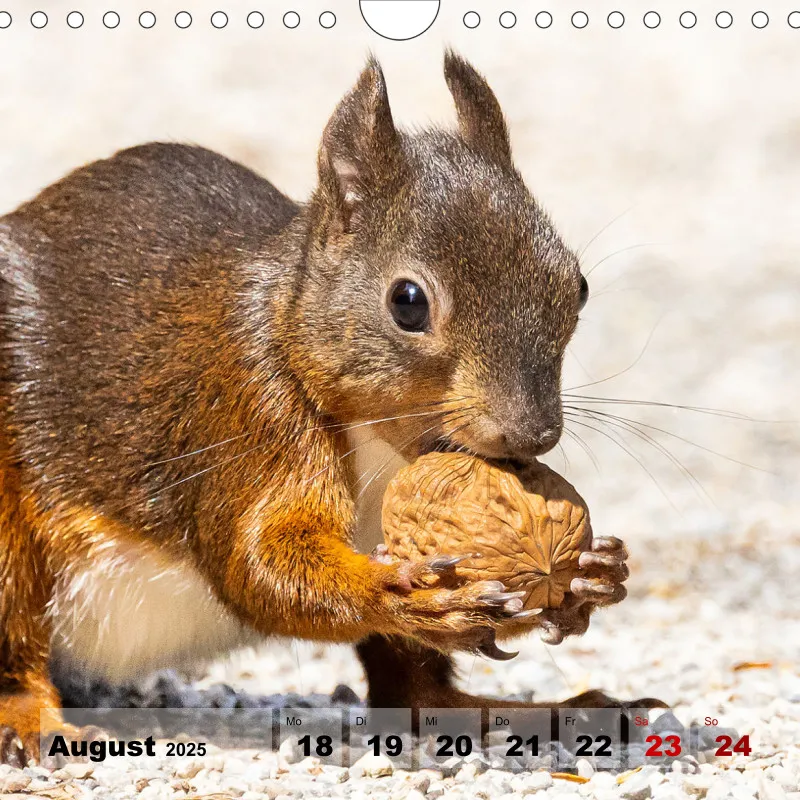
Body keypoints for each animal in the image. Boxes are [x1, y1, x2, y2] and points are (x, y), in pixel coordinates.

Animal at [0, 52, 664, 765]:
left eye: (578, 286)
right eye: (407, 302)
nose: (533, 434)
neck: (382, 442)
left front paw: (595, 574)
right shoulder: (250, 407)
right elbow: (257, 563)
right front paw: (400, 598)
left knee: (413, 696)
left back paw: (539, 713)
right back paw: (29, 719)